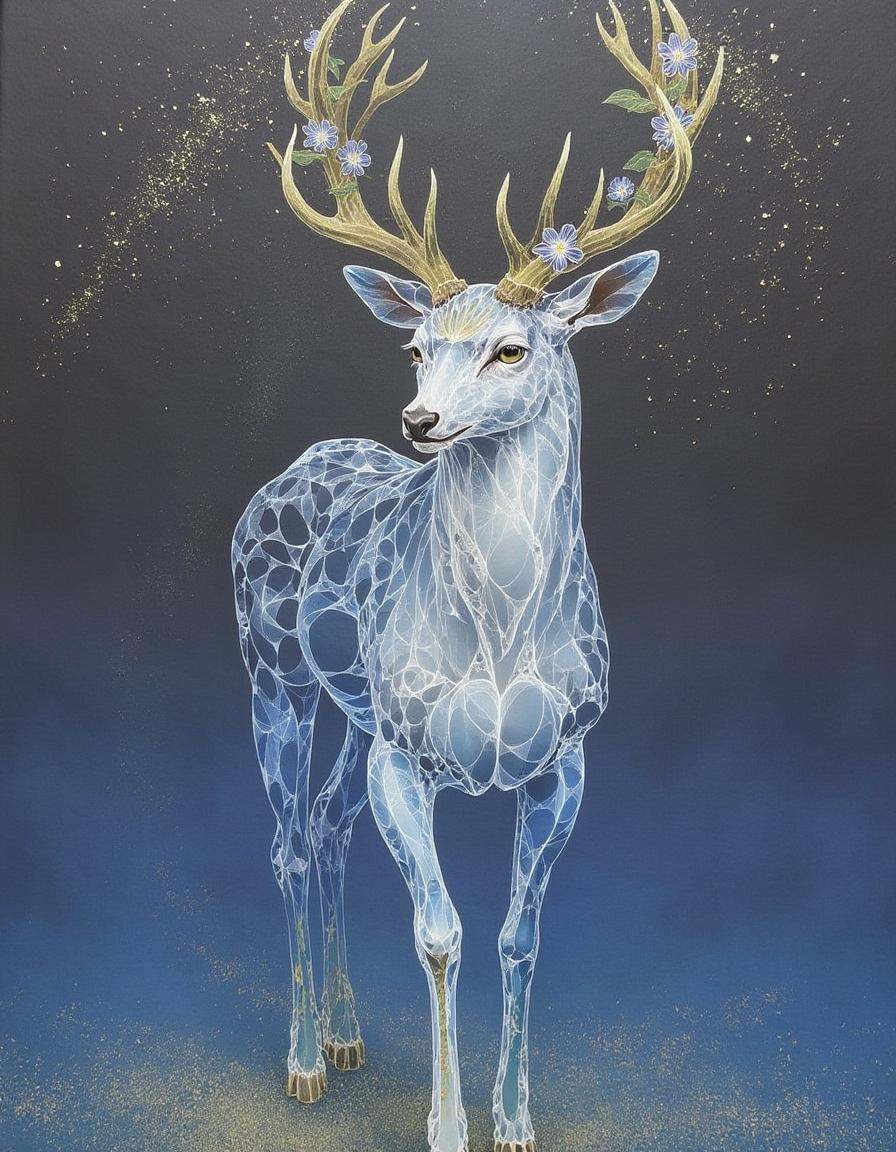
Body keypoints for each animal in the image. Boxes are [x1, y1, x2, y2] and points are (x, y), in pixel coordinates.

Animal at [233, 2, 722, 1149]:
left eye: (511, 348)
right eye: (415, 347)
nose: (418, 422)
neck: (497, 638)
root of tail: (293, 466)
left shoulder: (565, 760)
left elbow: (516, 937)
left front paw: (515, 1120)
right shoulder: (408, 754)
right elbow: (440, 933)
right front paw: (446, 1125)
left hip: (354, 712)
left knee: (326, 831)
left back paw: (346, 1038)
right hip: (274, 674)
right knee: (286, 843)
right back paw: (302, 1061)